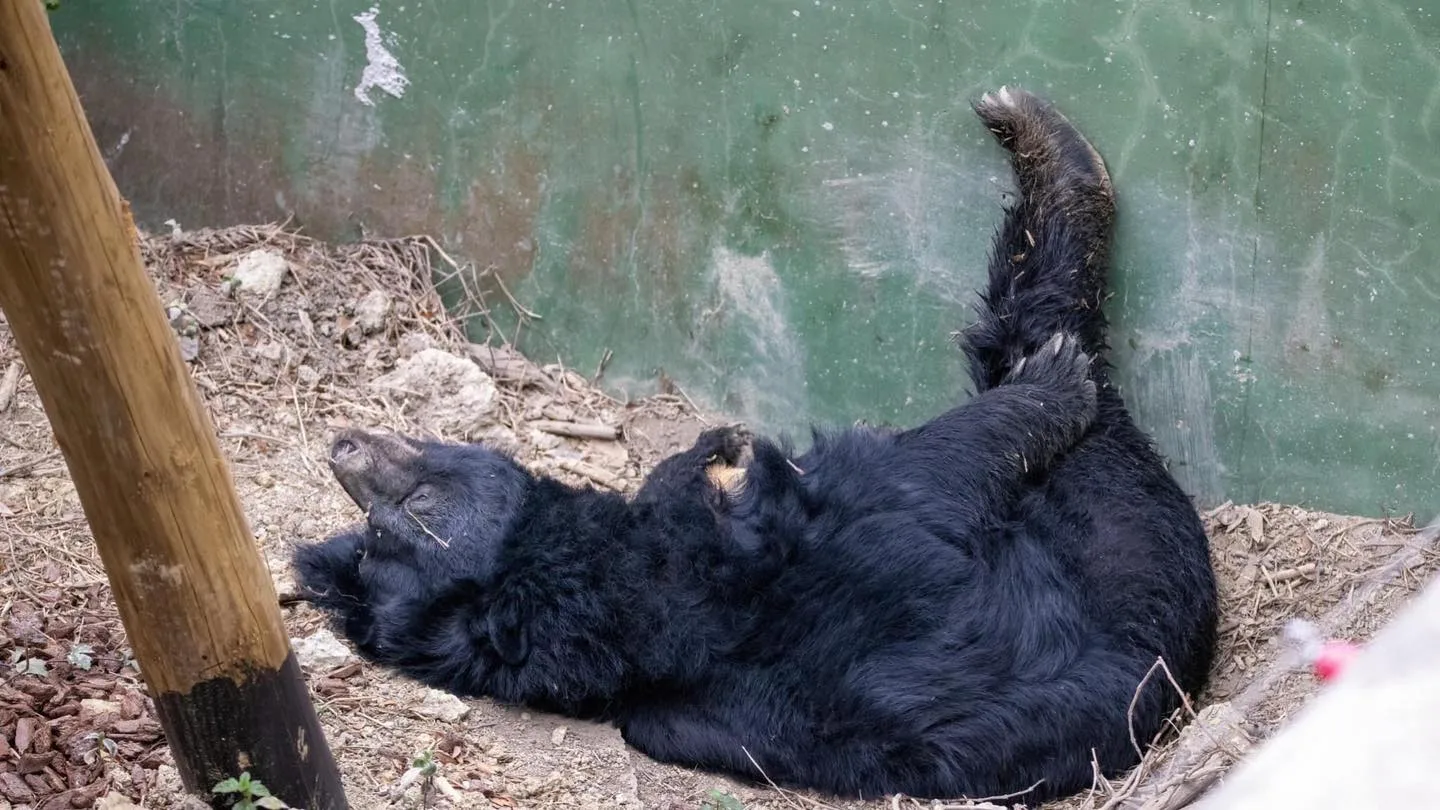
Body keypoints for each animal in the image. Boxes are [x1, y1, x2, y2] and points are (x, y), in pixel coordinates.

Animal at [292, 86, 1218, 804]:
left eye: (390, 520)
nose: (345, 446)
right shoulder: (799, 529)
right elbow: (928, 470)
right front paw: (1048, 389)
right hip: (1122, 519)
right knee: (1042, 346)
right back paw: (1051, 182)